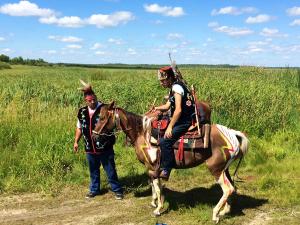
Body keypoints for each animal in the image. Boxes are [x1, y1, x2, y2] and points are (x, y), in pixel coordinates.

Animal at [92, 102, 251, 223]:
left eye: (102, 117)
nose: (94, 136)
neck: (142, 133)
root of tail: (232, 134)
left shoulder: (153, 167)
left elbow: (157, 187)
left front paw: (158, 209)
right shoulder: (152, 169)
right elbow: (155, 186)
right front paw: (154, 202)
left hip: (216, 169)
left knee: (227, 189)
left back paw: (215, 214)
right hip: (225, 169)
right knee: (232, 188)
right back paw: (225, 211)